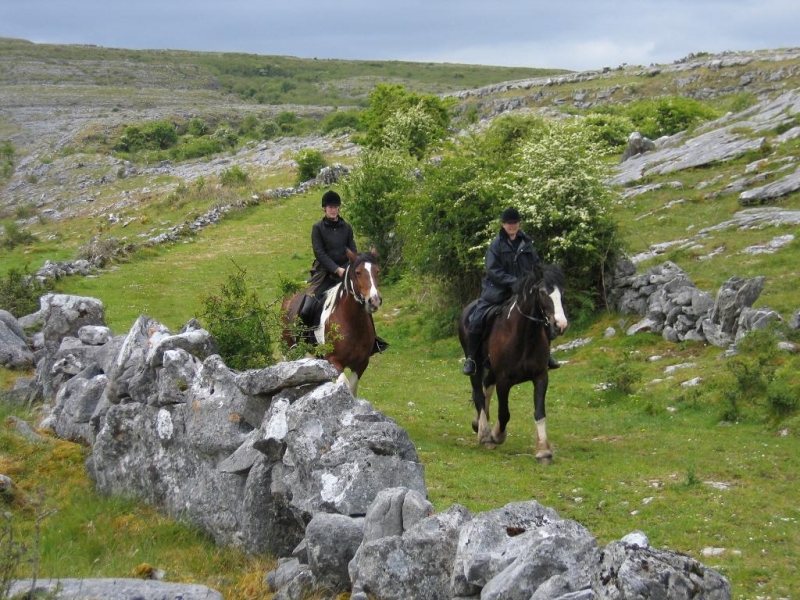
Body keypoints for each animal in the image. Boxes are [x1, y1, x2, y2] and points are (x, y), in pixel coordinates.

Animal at [282, 247, 382, 394]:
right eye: (357, 272)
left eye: (377, 271)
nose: (374, 301)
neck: (352, 322)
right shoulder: (332, 360)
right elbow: (344, 383)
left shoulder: (361, 364)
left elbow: (352, 387)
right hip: (289, 347)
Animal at [456, 264, 568, 462]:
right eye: (542, 292)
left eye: (561, 292)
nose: (560, 325)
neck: (524, 336)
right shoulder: (504, 380)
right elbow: (504, 413)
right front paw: (496, 435)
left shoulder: (540, 377)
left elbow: (540, 413)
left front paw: (543, 450)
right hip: (476, 366)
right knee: (478, 393)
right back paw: (484, 434)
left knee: (486, 387)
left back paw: (478, 424)